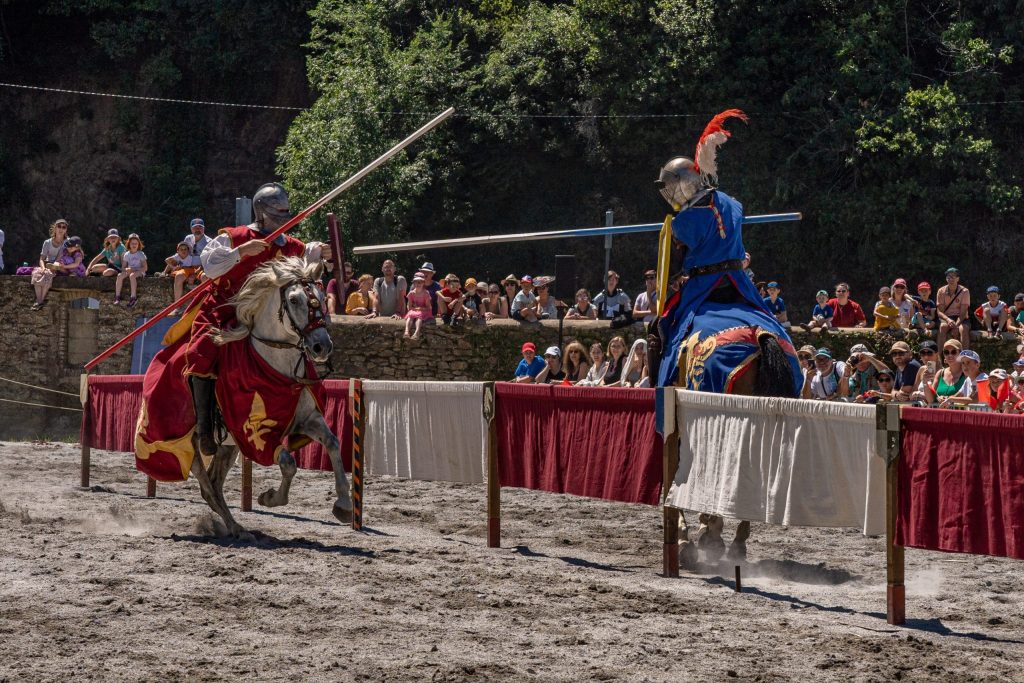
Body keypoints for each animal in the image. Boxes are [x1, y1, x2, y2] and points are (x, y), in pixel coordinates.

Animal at [192, 256, 352, 537]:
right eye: (294, 300)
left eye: (322, 297)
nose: (322, 346)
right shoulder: (256, 433)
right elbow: (288, 463)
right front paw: (269, 498)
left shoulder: (306, 420)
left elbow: (332, 443)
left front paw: (343, 504)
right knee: (206, 482)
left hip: (228, 446)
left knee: (213, 484)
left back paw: (235, 527)